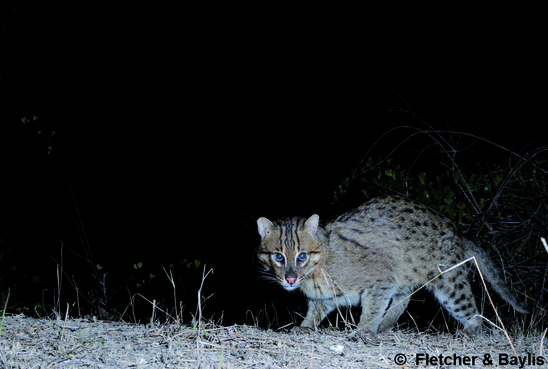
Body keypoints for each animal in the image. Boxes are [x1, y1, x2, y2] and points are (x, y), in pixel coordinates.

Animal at [258, 196, 532, 336]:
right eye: (278, 257)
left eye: (301, 256)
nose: (290, 279)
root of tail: (457, 234)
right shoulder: (324, 297)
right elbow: (314, 312)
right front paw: (305, 327)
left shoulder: (382, 279)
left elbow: (371, 309)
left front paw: (364, 331)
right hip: (409, 274)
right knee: (405, 297)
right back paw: (386, 325)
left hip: (449, 282)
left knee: (473, 312)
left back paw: (469, 330)